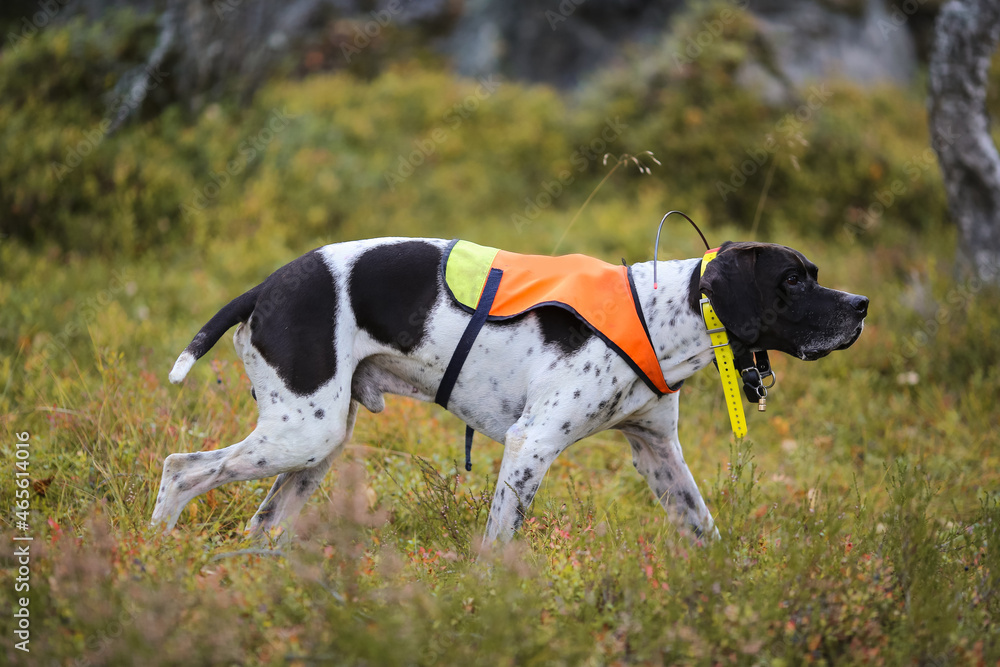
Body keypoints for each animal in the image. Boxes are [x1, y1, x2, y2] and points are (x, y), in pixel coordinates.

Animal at [150, 239, 868, 544]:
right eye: (793, 281)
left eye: (814, 274)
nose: (862, 305)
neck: (662, 313)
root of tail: (265, 285)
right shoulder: (531, 445)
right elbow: (499, 544)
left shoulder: (659, 453)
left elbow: (703, 527)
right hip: (301, 432)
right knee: (182, 469)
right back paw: (152, 554)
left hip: (316, 445)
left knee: (262, 520)